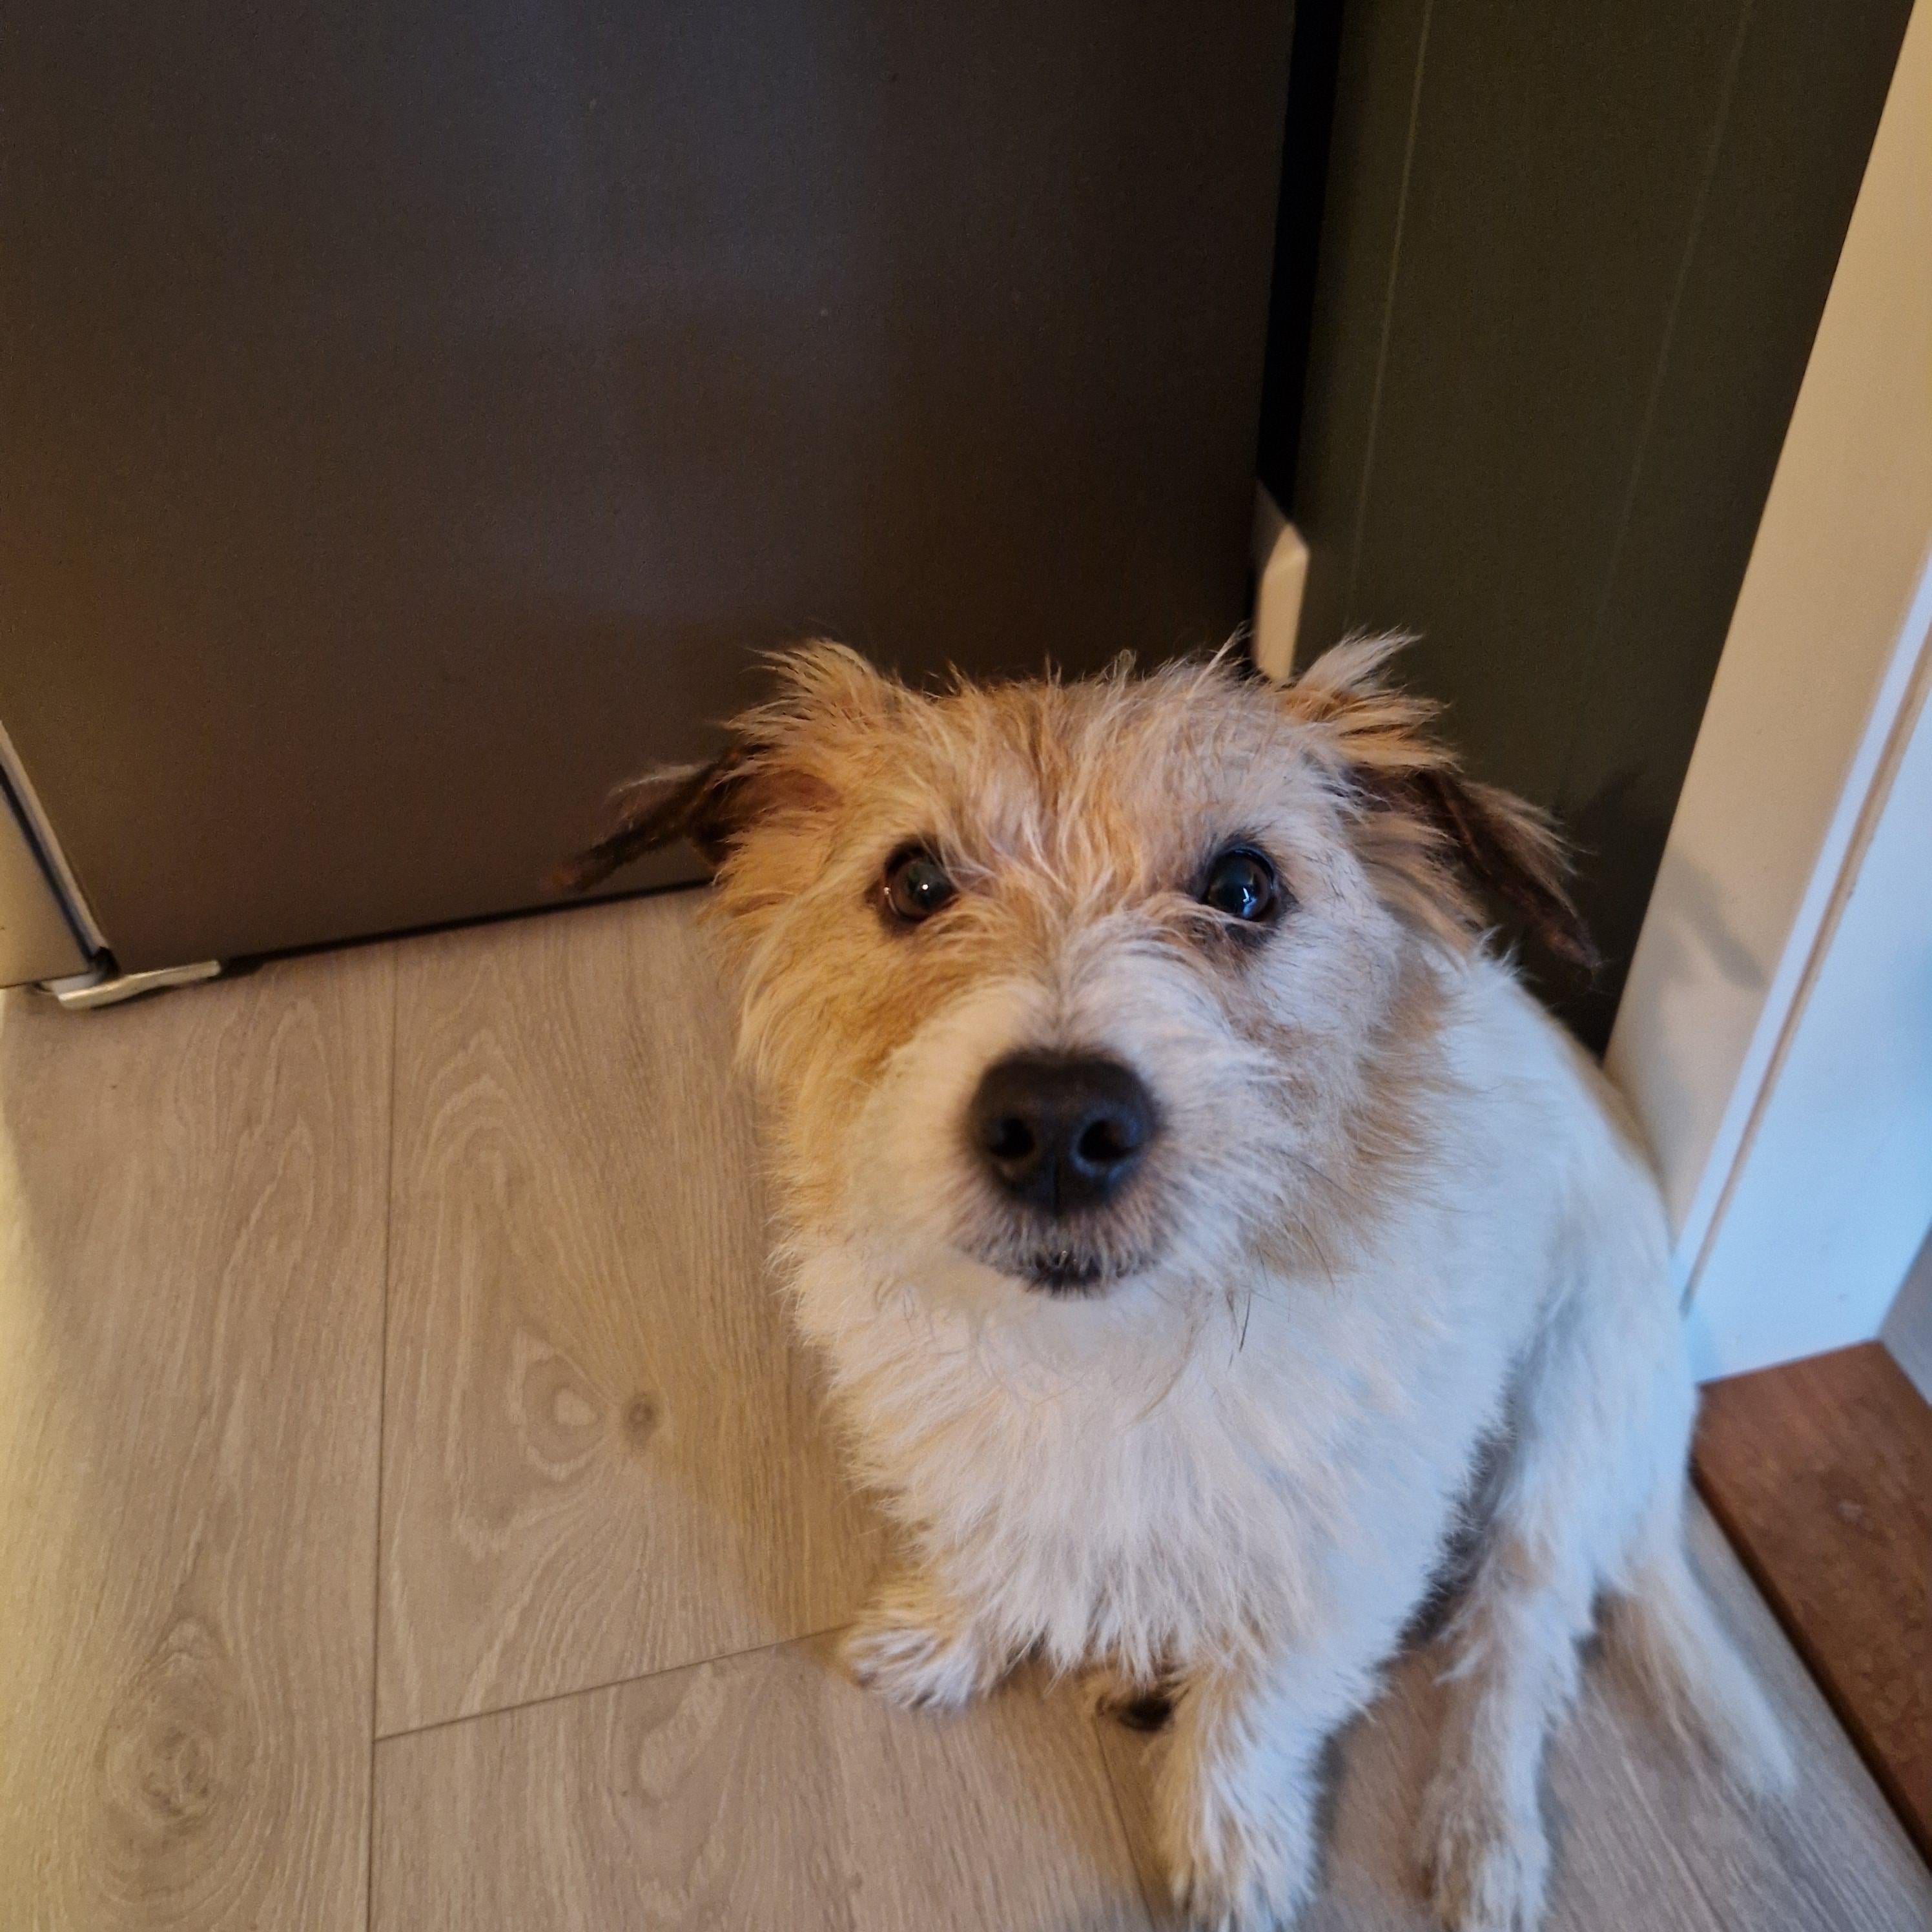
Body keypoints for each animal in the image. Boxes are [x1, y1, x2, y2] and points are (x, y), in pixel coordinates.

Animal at [559, 638, 1791, 1932]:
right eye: (916, 883)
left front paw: (1227, 1845)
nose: (1059, 1123)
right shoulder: (983, 1454)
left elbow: (1254, 1712)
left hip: (1557, 1449)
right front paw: (951, 1635)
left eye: (1245, 887)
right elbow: (992, 1544)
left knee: (1516, 1651)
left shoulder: (1345, 1555)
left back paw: (1483, 1830)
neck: (1117, 1354)